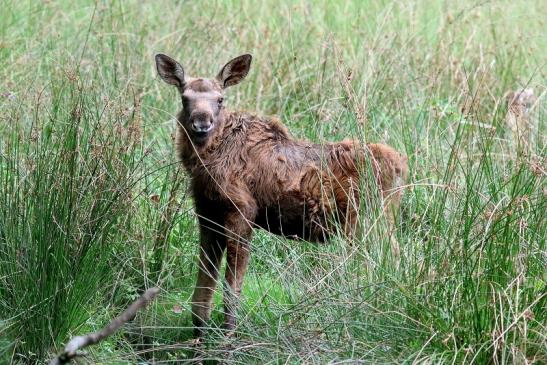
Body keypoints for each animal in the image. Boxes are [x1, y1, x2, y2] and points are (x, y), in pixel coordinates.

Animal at [156, 52, 408, 336]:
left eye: (220, 99)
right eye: (184, 98)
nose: (202, 123)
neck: (205, 160)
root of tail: (403, 165)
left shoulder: (242, 211)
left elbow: (232, 289)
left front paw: (228, 335)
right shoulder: (207, 212)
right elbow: (203, 288)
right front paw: (199, 335)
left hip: (369, 224)